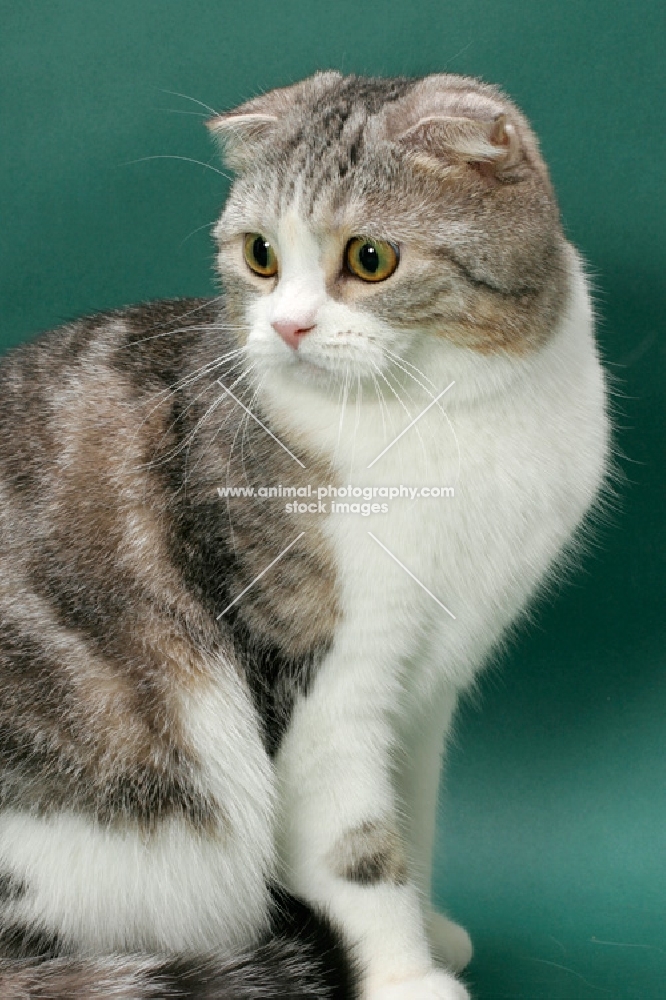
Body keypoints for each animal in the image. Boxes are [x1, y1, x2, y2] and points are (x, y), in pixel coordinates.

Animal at [0, 72, 608, 1000]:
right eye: (260, 255)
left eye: (370, 259)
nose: (286, 327)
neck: (441, 416)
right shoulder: (322, 675)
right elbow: (356, 851)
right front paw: (403, 976)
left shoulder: (427, 686)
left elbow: (411, 815)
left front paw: (428, 932)